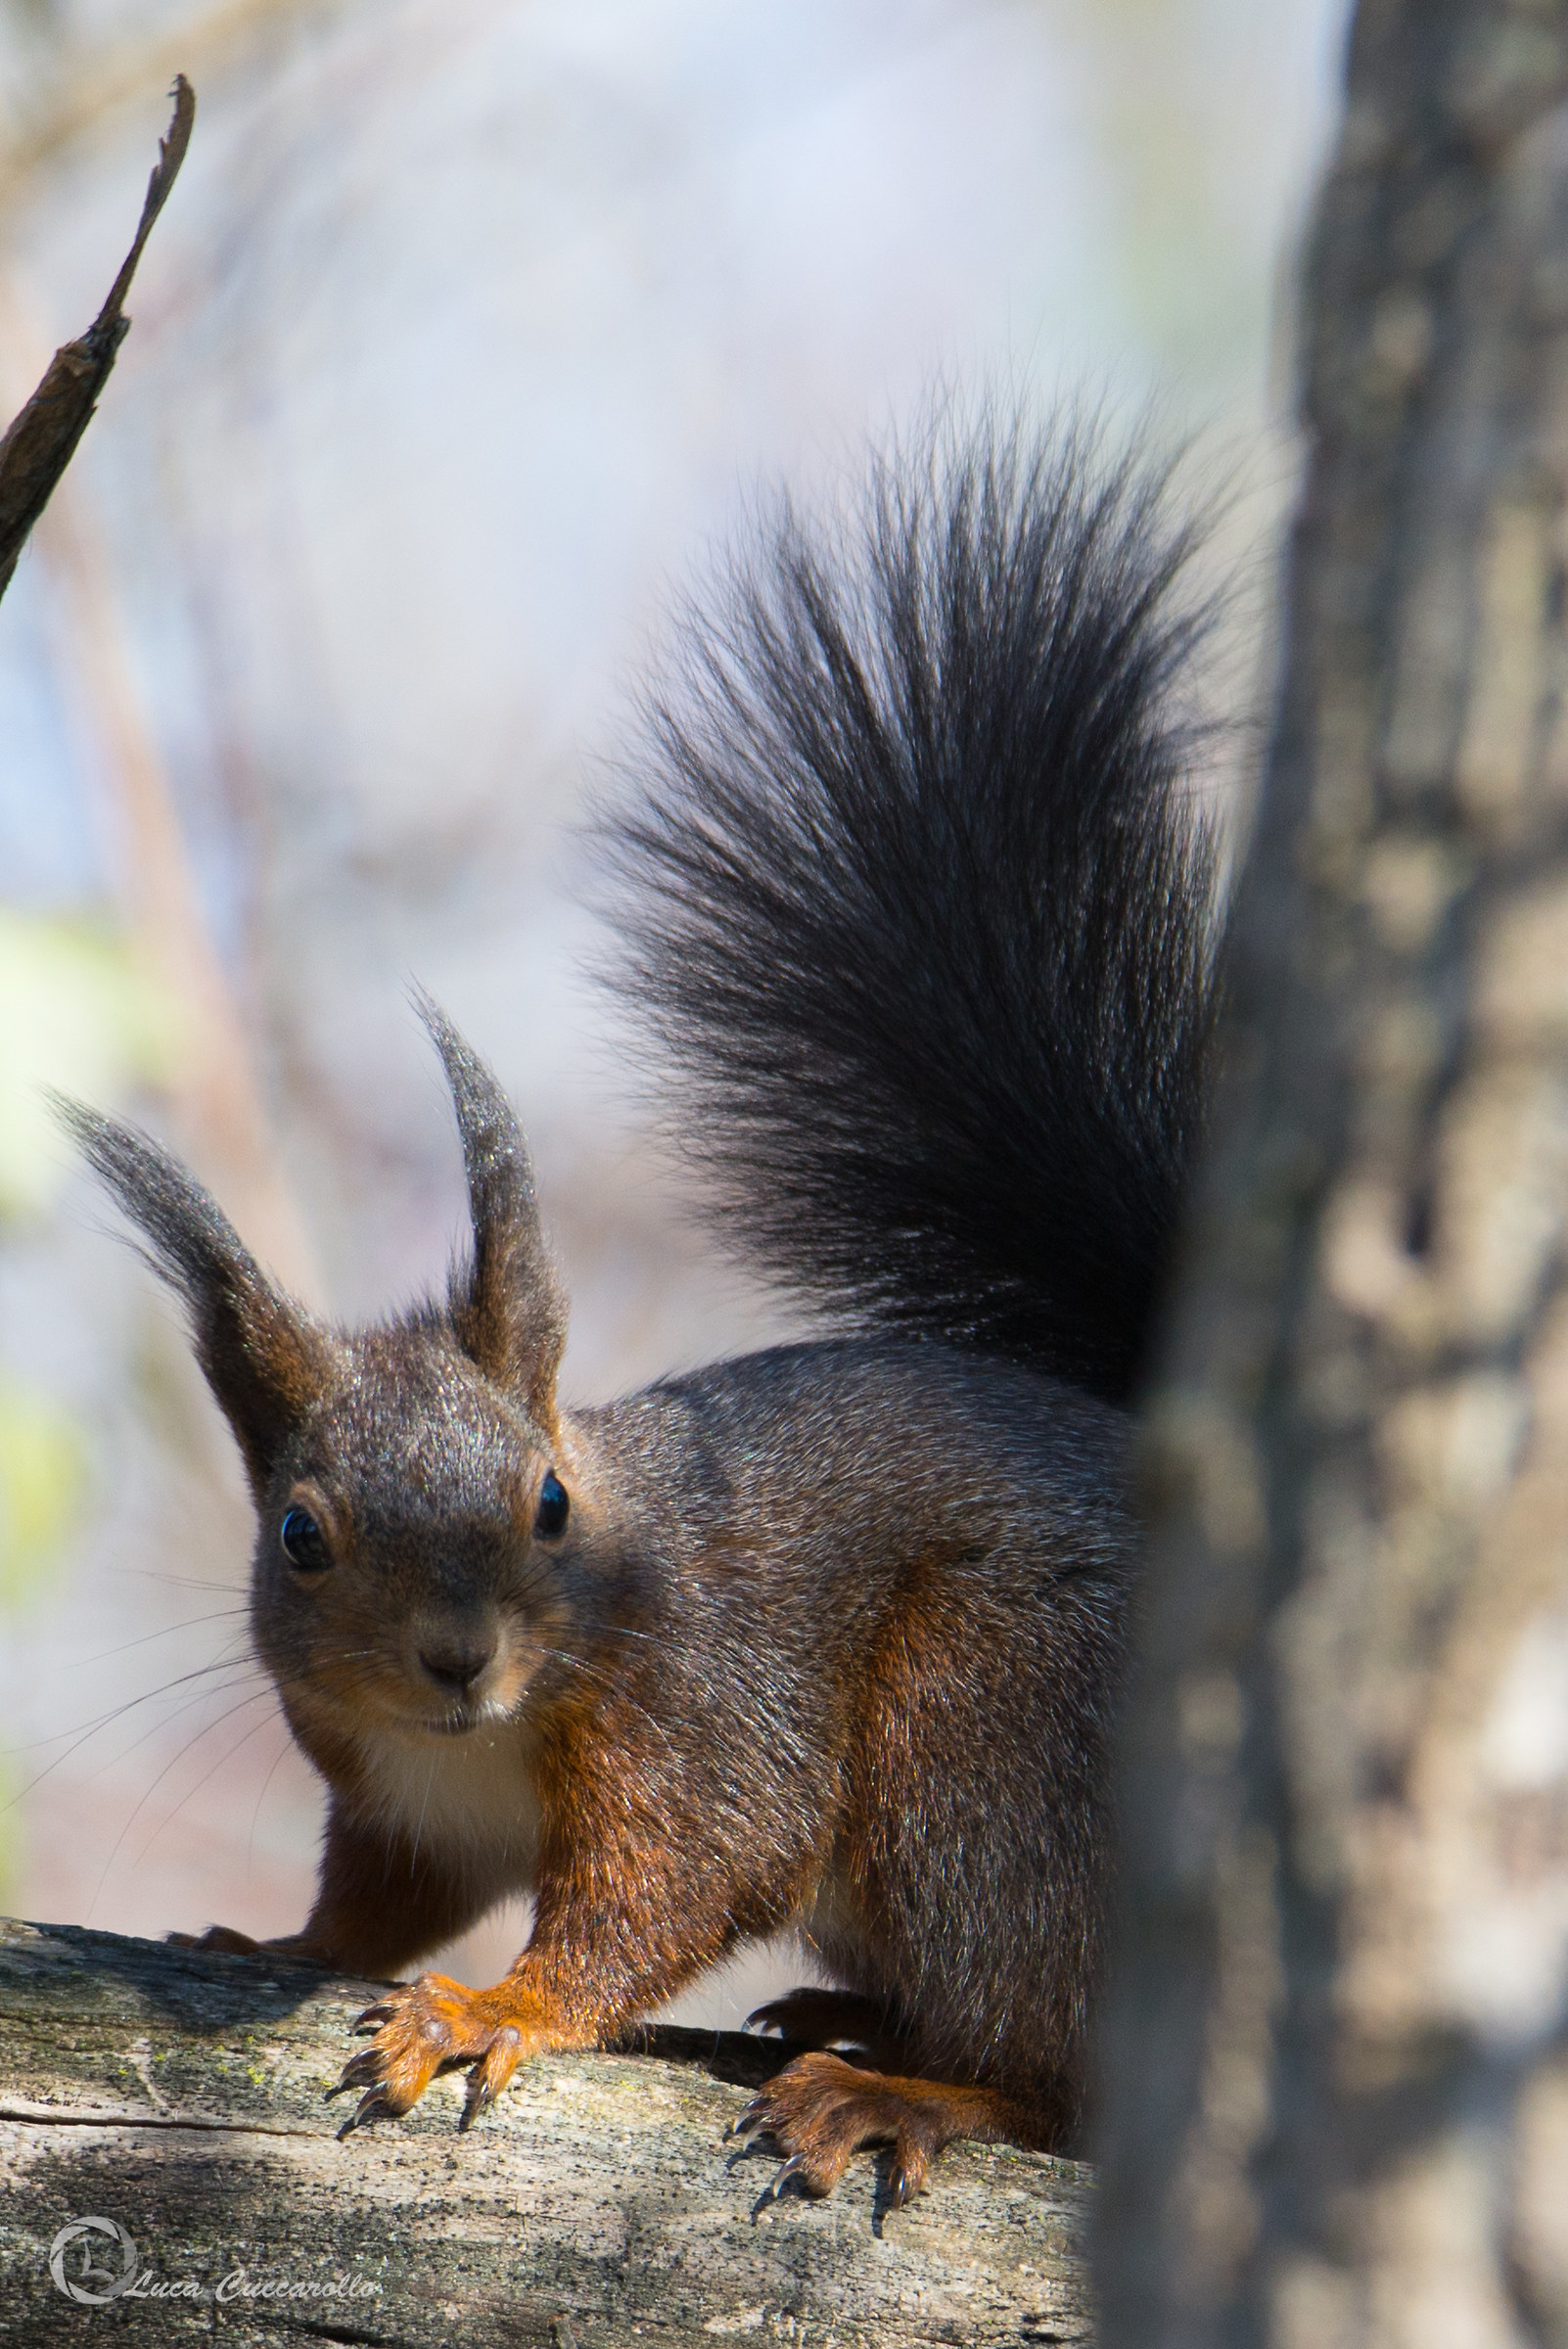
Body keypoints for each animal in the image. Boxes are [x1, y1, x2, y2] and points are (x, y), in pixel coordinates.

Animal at [64, 413, 1218, 2205]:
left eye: (548, 1503)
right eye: (299, 1535)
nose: (456, 1656)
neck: (476, 1740)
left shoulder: (699, 1722)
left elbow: (663, 1893)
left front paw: (496, 2006)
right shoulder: (391, 1796)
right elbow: (377, 1905)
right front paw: (273, 1946)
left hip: (991, 1734)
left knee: (1062, 2065)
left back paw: (909, 2092)